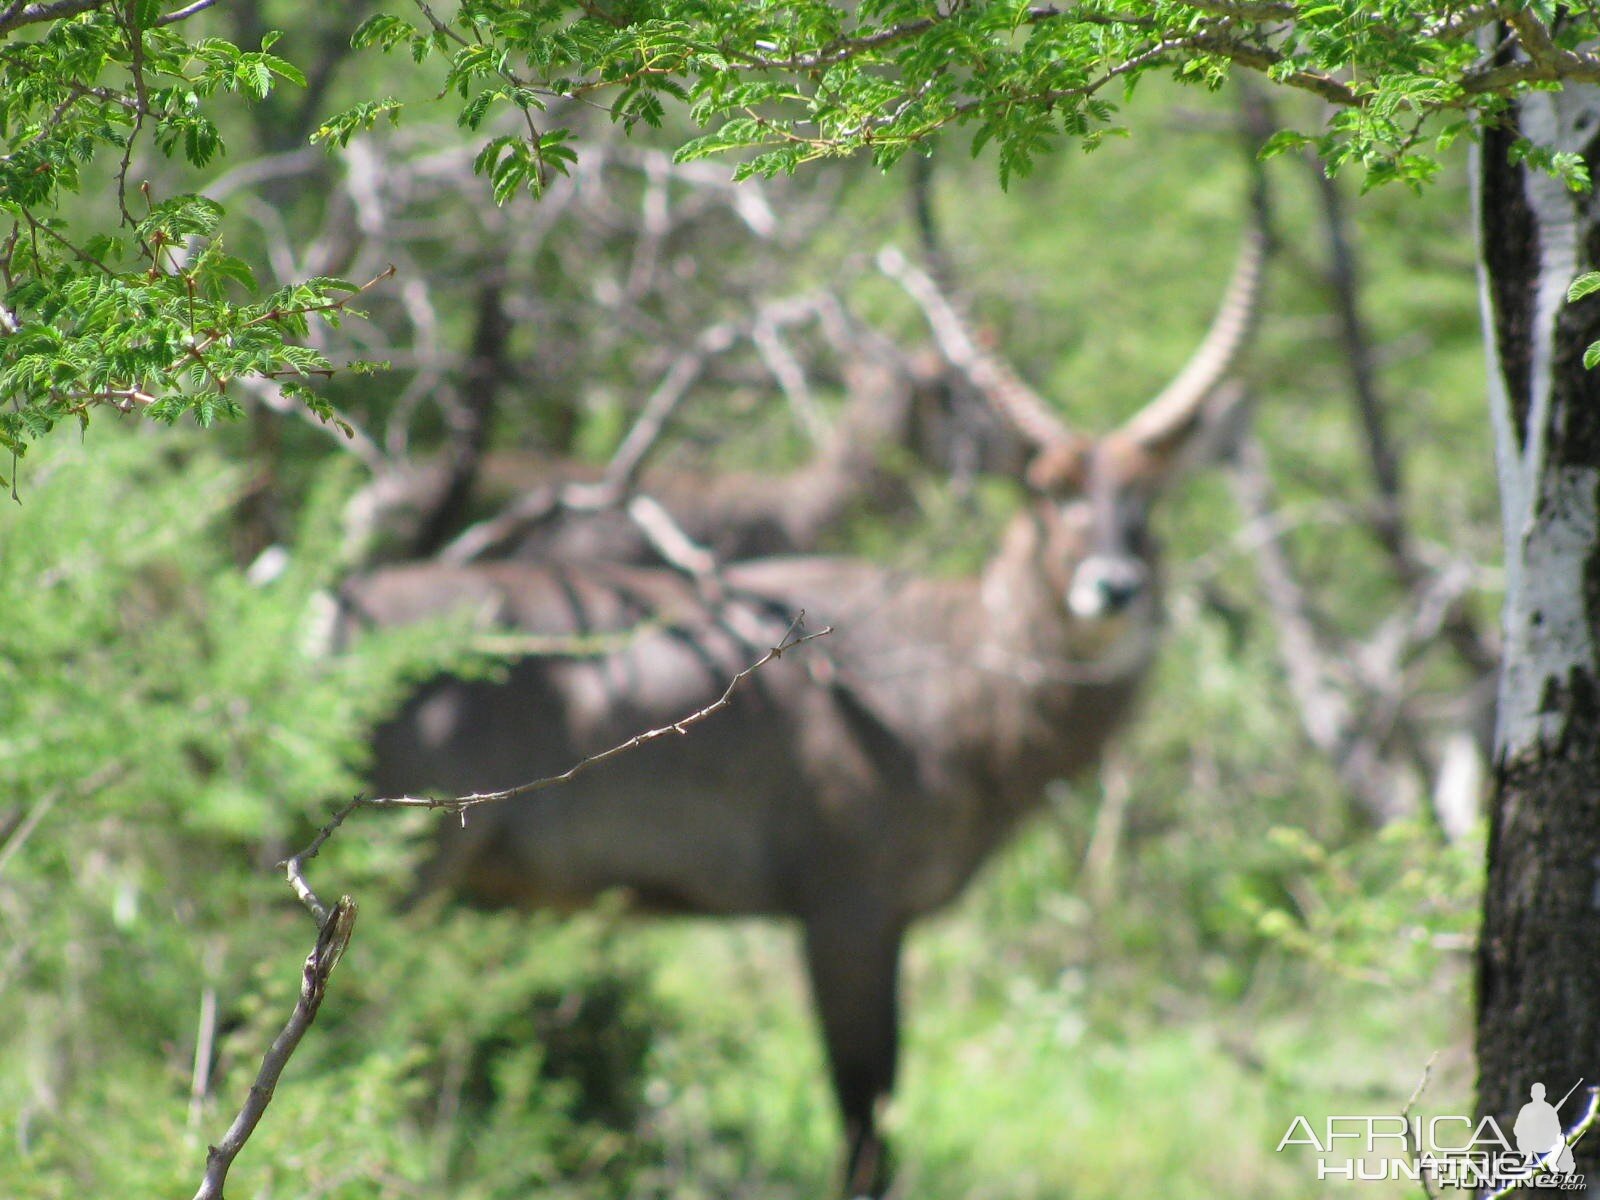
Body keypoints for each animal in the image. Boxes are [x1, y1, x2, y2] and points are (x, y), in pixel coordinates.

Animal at [344, 209, 1267, 1196]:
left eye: (1148, 500)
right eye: (1047, 492)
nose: (1114, 588)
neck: (951, 664)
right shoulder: (849, 918)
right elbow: (866, 1117)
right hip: (400, 877)